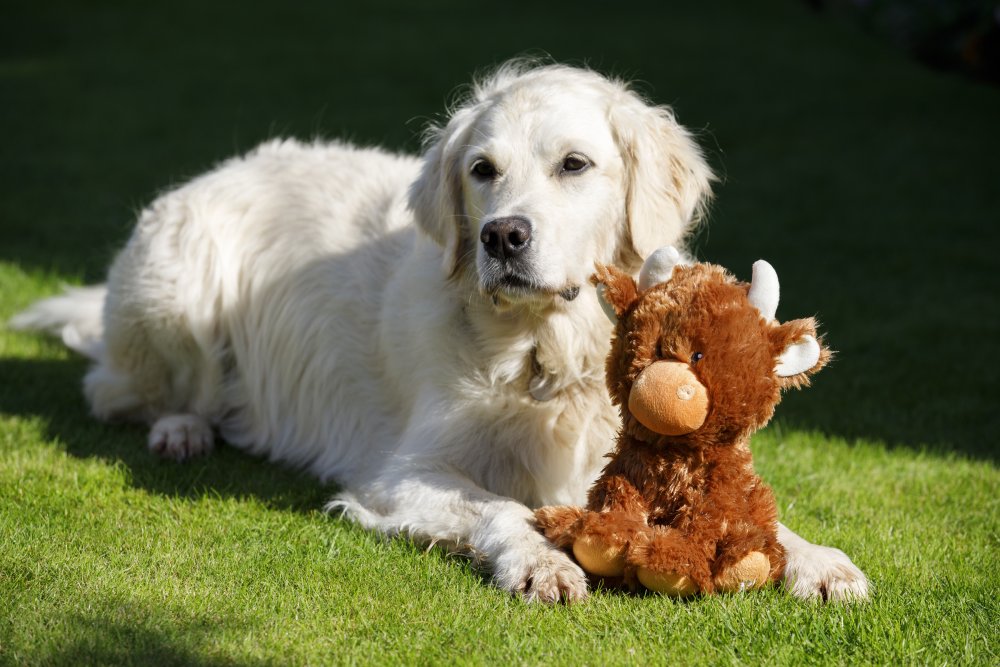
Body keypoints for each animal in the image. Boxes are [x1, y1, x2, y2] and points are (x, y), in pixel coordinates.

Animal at [9, 64, 868, 604]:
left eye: (575, 164)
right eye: (482, 169)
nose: (502, 236)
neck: (545, 350)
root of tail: (212, 172)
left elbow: (757, 515)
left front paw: (818, 560)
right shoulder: (401, 471)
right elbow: (505, 507)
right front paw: (541, 562)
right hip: (176, 280)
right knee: (120, 389)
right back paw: (181, 428)